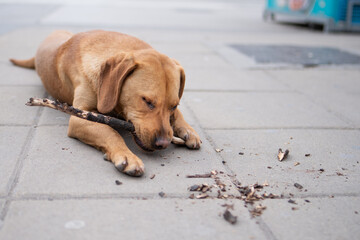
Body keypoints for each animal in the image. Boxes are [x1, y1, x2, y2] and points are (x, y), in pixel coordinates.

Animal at [10, 30, 202, 176]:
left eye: (174, 105)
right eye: (147, 101)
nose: (163, 144)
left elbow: (179, 116)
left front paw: (188, 129)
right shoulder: (80, 117)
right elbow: (110, 131)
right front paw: (126, 155)